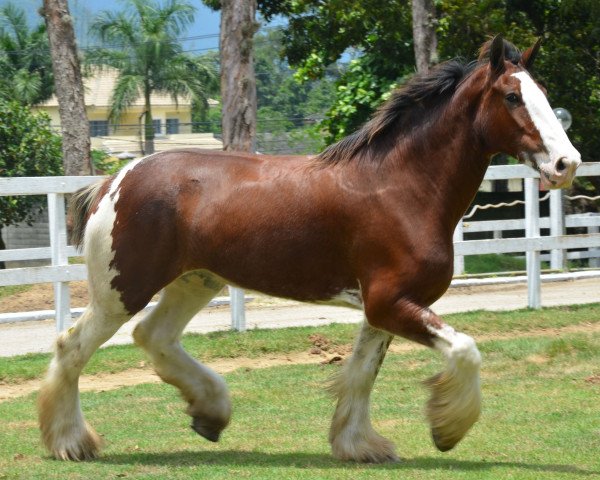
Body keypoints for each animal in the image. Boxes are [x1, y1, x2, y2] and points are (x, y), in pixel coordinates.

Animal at [37, 33, 580, 462]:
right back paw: (71, 442)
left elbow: (360, 373)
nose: (566, 163)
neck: (401, 188)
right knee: (71, 346)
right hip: (123, 288)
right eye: (511, 96)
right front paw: (447, 429)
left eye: (544, 94)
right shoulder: (391, 302)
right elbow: (465, 350)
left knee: (155, 336)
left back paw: (210, 412)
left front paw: (360, 446)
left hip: (195, 280)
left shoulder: (383, 307)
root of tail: (115, 180)